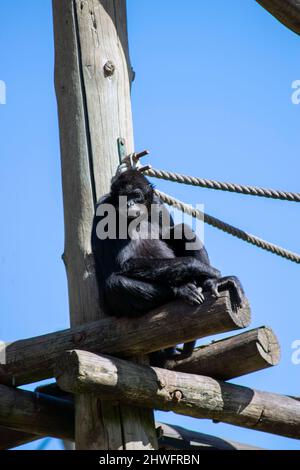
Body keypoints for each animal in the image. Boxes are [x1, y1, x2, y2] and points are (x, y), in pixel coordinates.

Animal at [92, 168, 246, 364]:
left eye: (136, 195)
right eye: (123, 197)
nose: (130, 203)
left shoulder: (157, 204)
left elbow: (173, 232)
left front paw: (214, 278)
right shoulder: (104, 208)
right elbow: (124, 263)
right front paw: (203, 270)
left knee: (182, 230)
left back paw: (210, 284)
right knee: (115, 284)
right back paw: (181, 290)